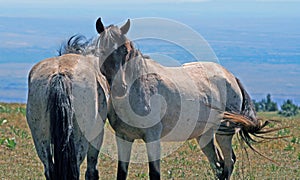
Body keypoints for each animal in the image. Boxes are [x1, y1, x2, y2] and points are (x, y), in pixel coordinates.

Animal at [25, 36, 108, 179]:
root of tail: (60, 74)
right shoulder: (96, 136)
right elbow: (92, 170)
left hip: (40, 138)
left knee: (49, 169)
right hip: (80, 140)